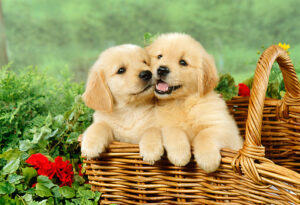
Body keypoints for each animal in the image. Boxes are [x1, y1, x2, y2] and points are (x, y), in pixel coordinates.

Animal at [146, 33, 243, 173]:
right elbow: (173, 129)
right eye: (159, 56)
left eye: (183, 62)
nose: (162, 69)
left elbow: (204, 134)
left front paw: (208, 160)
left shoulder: (225, 128)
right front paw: (179, 155)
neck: (182, 103)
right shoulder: (161, 123)